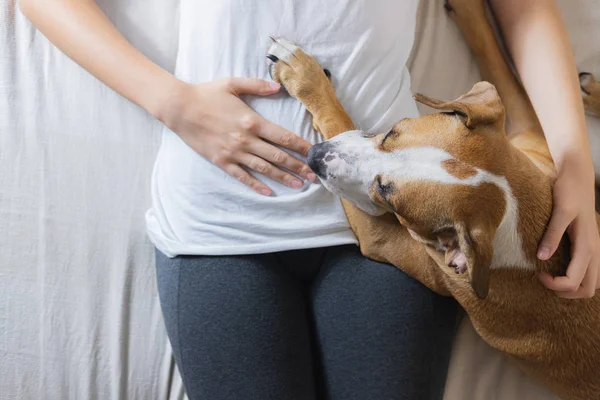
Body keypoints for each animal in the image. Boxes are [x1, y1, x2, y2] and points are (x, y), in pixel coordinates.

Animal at [266, 0, 600, 398]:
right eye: (392, 132)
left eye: (387, 196)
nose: (315, 155)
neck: (517, 223)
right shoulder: (529, 143)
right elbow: (498, 66)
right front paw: (470, 8)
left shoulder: (392, 243)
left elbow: (338, 123)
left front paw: (302, 76)